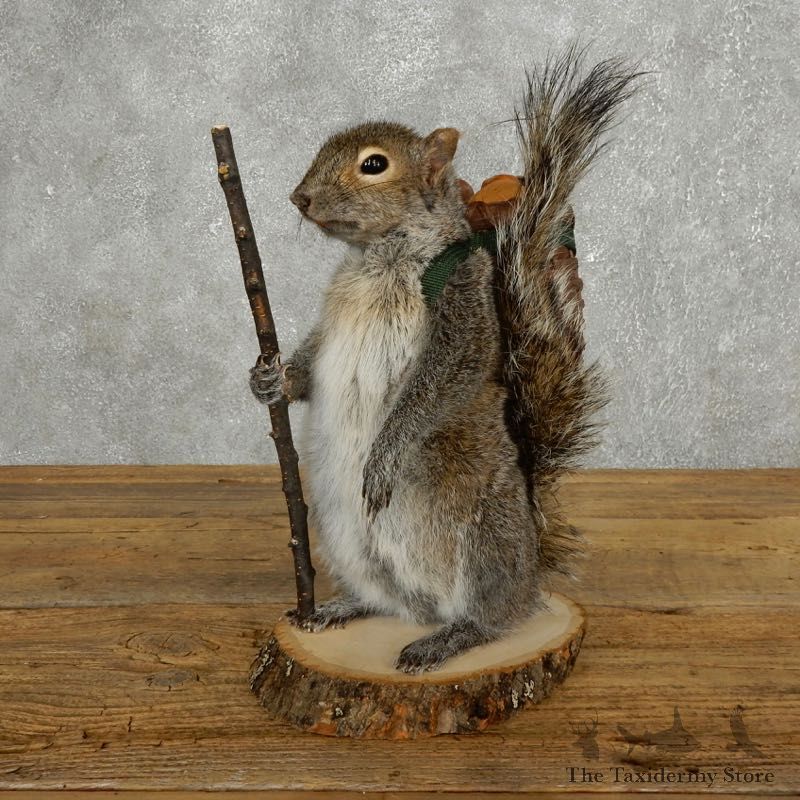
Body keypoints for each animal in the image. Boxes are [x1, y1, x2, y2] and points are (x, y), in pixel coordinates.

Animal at [249, 47, 640, 673]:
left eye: (374, 164)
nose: (299, 198)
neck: (380, 254)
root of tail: (532, 567)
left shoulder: (462, 301)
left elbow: (444, 379)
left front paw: (384, 457)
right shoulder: (333, 317)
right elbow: (309, 362)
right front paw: (272, 379)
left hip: (483, 542)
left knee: (493, 615)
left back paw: (452, 638)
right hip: (347, 536)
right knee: (388, 598)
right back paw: (345, 608)